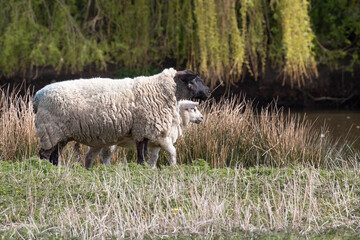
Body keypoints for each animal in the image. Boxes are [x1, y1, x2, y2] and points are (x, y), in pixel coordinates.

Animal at [33, 67, 211, 167]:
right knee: (44, 155)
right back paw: (43, 171)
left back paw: (56, 170)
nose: (209, 92)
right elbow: (142, 157)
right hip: (50, 130)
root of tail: (37, 97)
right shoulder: (143, 130)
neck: (160, 90)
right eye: (195, 80)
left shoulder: (143, 132)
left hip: (59, 135)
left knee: (54, 156)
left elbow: (146, 157)